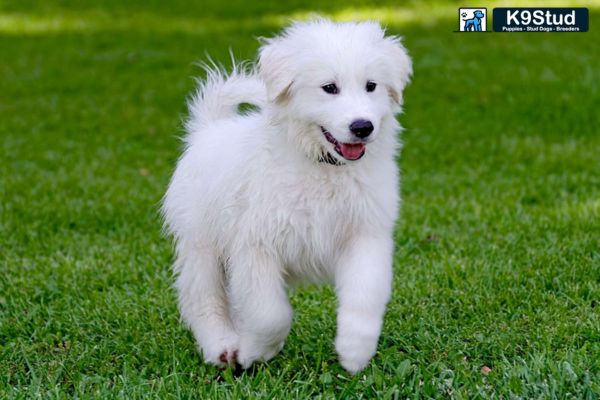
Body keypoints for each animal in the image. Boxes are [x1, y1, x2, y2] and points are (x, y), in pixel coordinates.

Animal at [161, 18, 412, 374]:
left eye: (371, 86)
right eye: (330, 88)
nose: (362, 127)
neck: (322, 167)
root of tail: (209, 128)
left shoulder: (365, 234)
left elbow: (365, 295)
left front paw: (355, 351)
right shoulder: (255, 245)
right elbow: (270, 314)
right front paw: (254, 352)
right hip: (201, 243)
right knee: (204, 298)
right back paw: (222, 346)